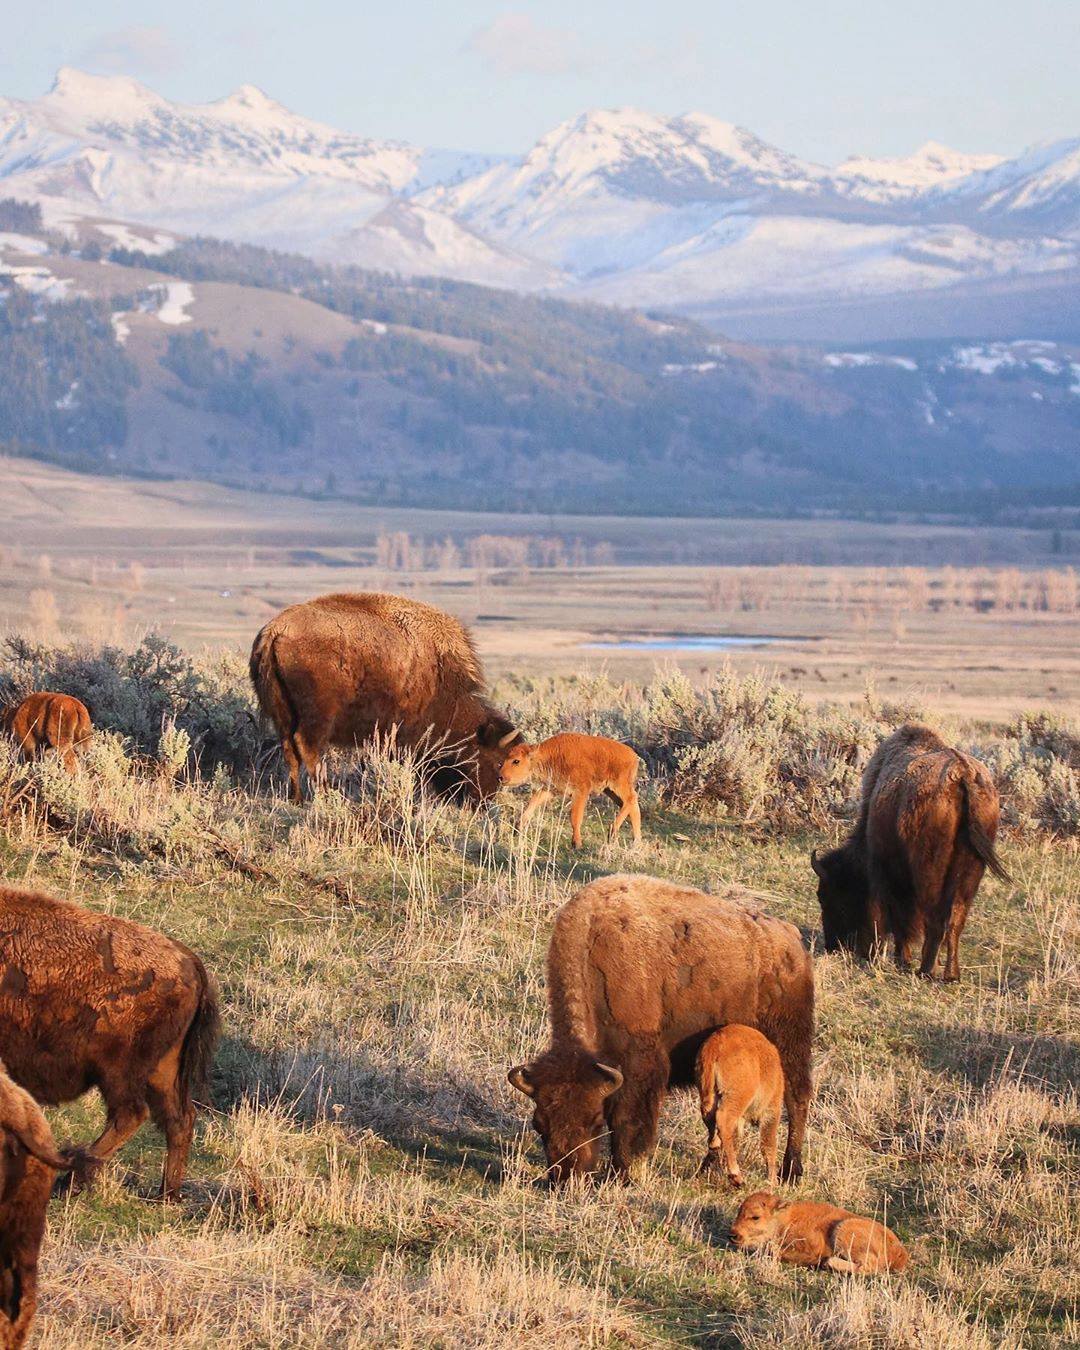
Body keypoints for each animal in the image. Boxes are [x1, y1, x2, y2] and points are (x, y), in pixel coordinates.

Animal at [0, 885, 220, 1199]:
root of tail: (188, 959)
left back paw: (70, 1182)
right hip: (162, 1070)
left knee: (132, 1115)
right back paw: (166, 1194)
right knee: (179, 1119)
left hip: (118, 1071)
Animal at [250, 592, 520, 803]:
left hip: (282, 713)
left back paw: (296, 798)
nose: (484, 801)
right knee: (307, 747)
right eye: (497, 761)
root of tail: (275, 632)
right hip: (318, 715)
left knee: (289, 749)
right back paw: (325, 796)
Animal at [508, 874, 814, 1185]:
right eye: (539, 1124)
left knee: (796, 1098)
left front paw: (623, 1173)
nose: (566, 1176)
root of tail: (792, 941)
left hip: (790, 1042)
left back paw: (791, 1169)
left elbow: (627, 1120)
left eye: (594, 1121)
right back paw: (710, 1168)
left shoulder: (640, 1065)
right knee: (721, 1116)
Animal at [812, 723, 1007, 980]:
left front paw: (897, 958)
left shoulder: (886, 872)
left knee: (934, 918)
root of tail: (962, 774)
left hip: (930, 873)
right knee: (955, 920)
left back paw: (925, 969)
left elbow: (894, 915)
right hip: (971, 873)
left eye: (826, 895)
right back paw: (950, 974)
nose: (832, 946)